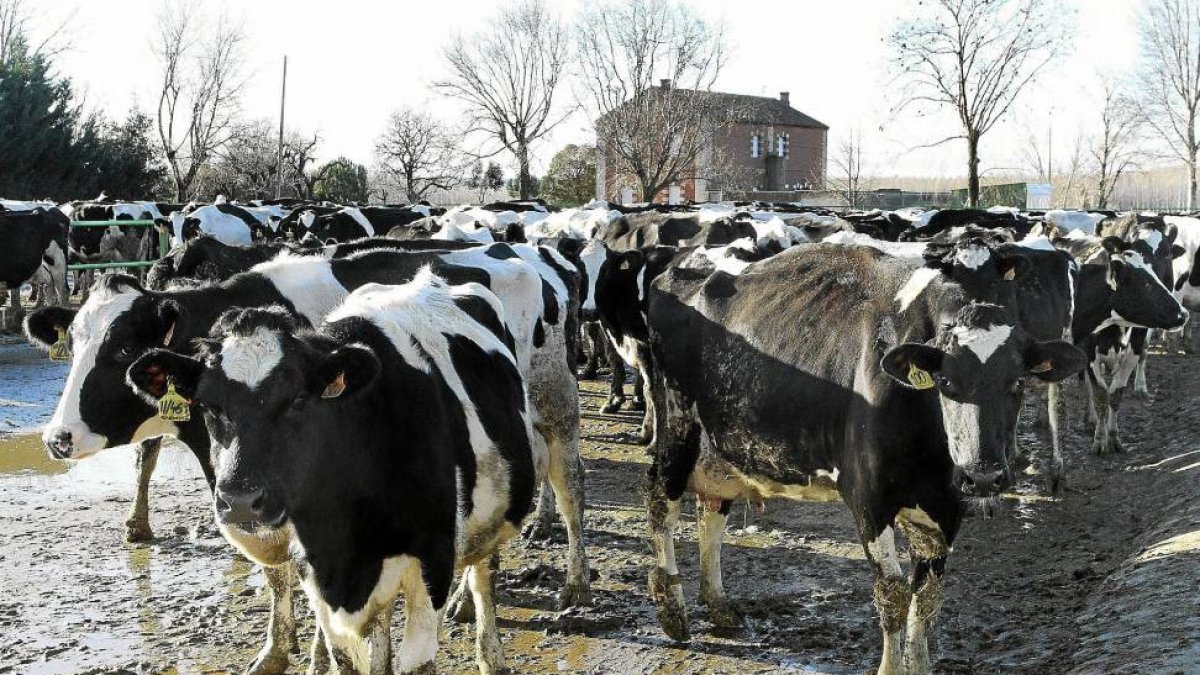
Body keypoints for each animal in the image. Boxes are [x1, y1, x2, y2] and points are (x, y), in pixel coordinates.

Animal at [126, 271, 540, 673]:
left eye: (297, 401)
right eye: (210, 406)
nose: (241, 501)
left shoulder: (433, 562)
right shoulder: (317, 574)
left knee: (483, 575)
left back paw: (491, 656)